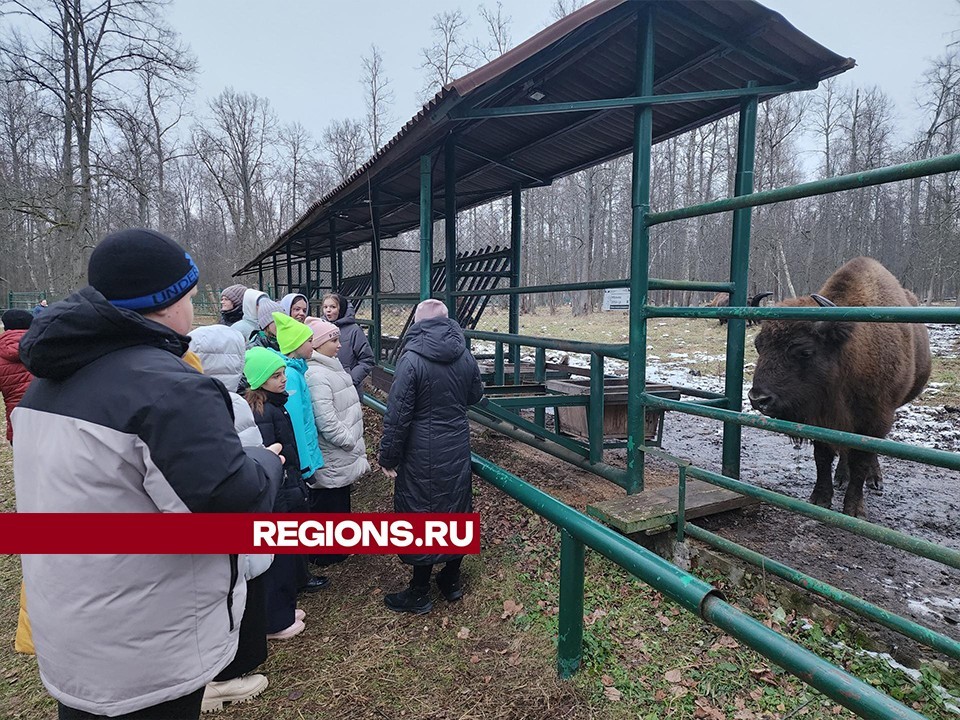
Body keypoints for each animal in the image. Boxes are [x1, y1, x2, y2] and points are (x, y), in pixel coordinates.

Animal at [748, 258, 932, 516]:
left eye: (805, 351)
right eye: (758, 345)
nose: (758, 398)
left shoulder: (874, 420)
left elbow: (861, 460)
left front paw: (854, 509)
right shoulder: (821, 420)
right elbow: (823, 456)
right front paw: (820, 499)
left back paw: (874, 480)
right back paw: (841, 477)